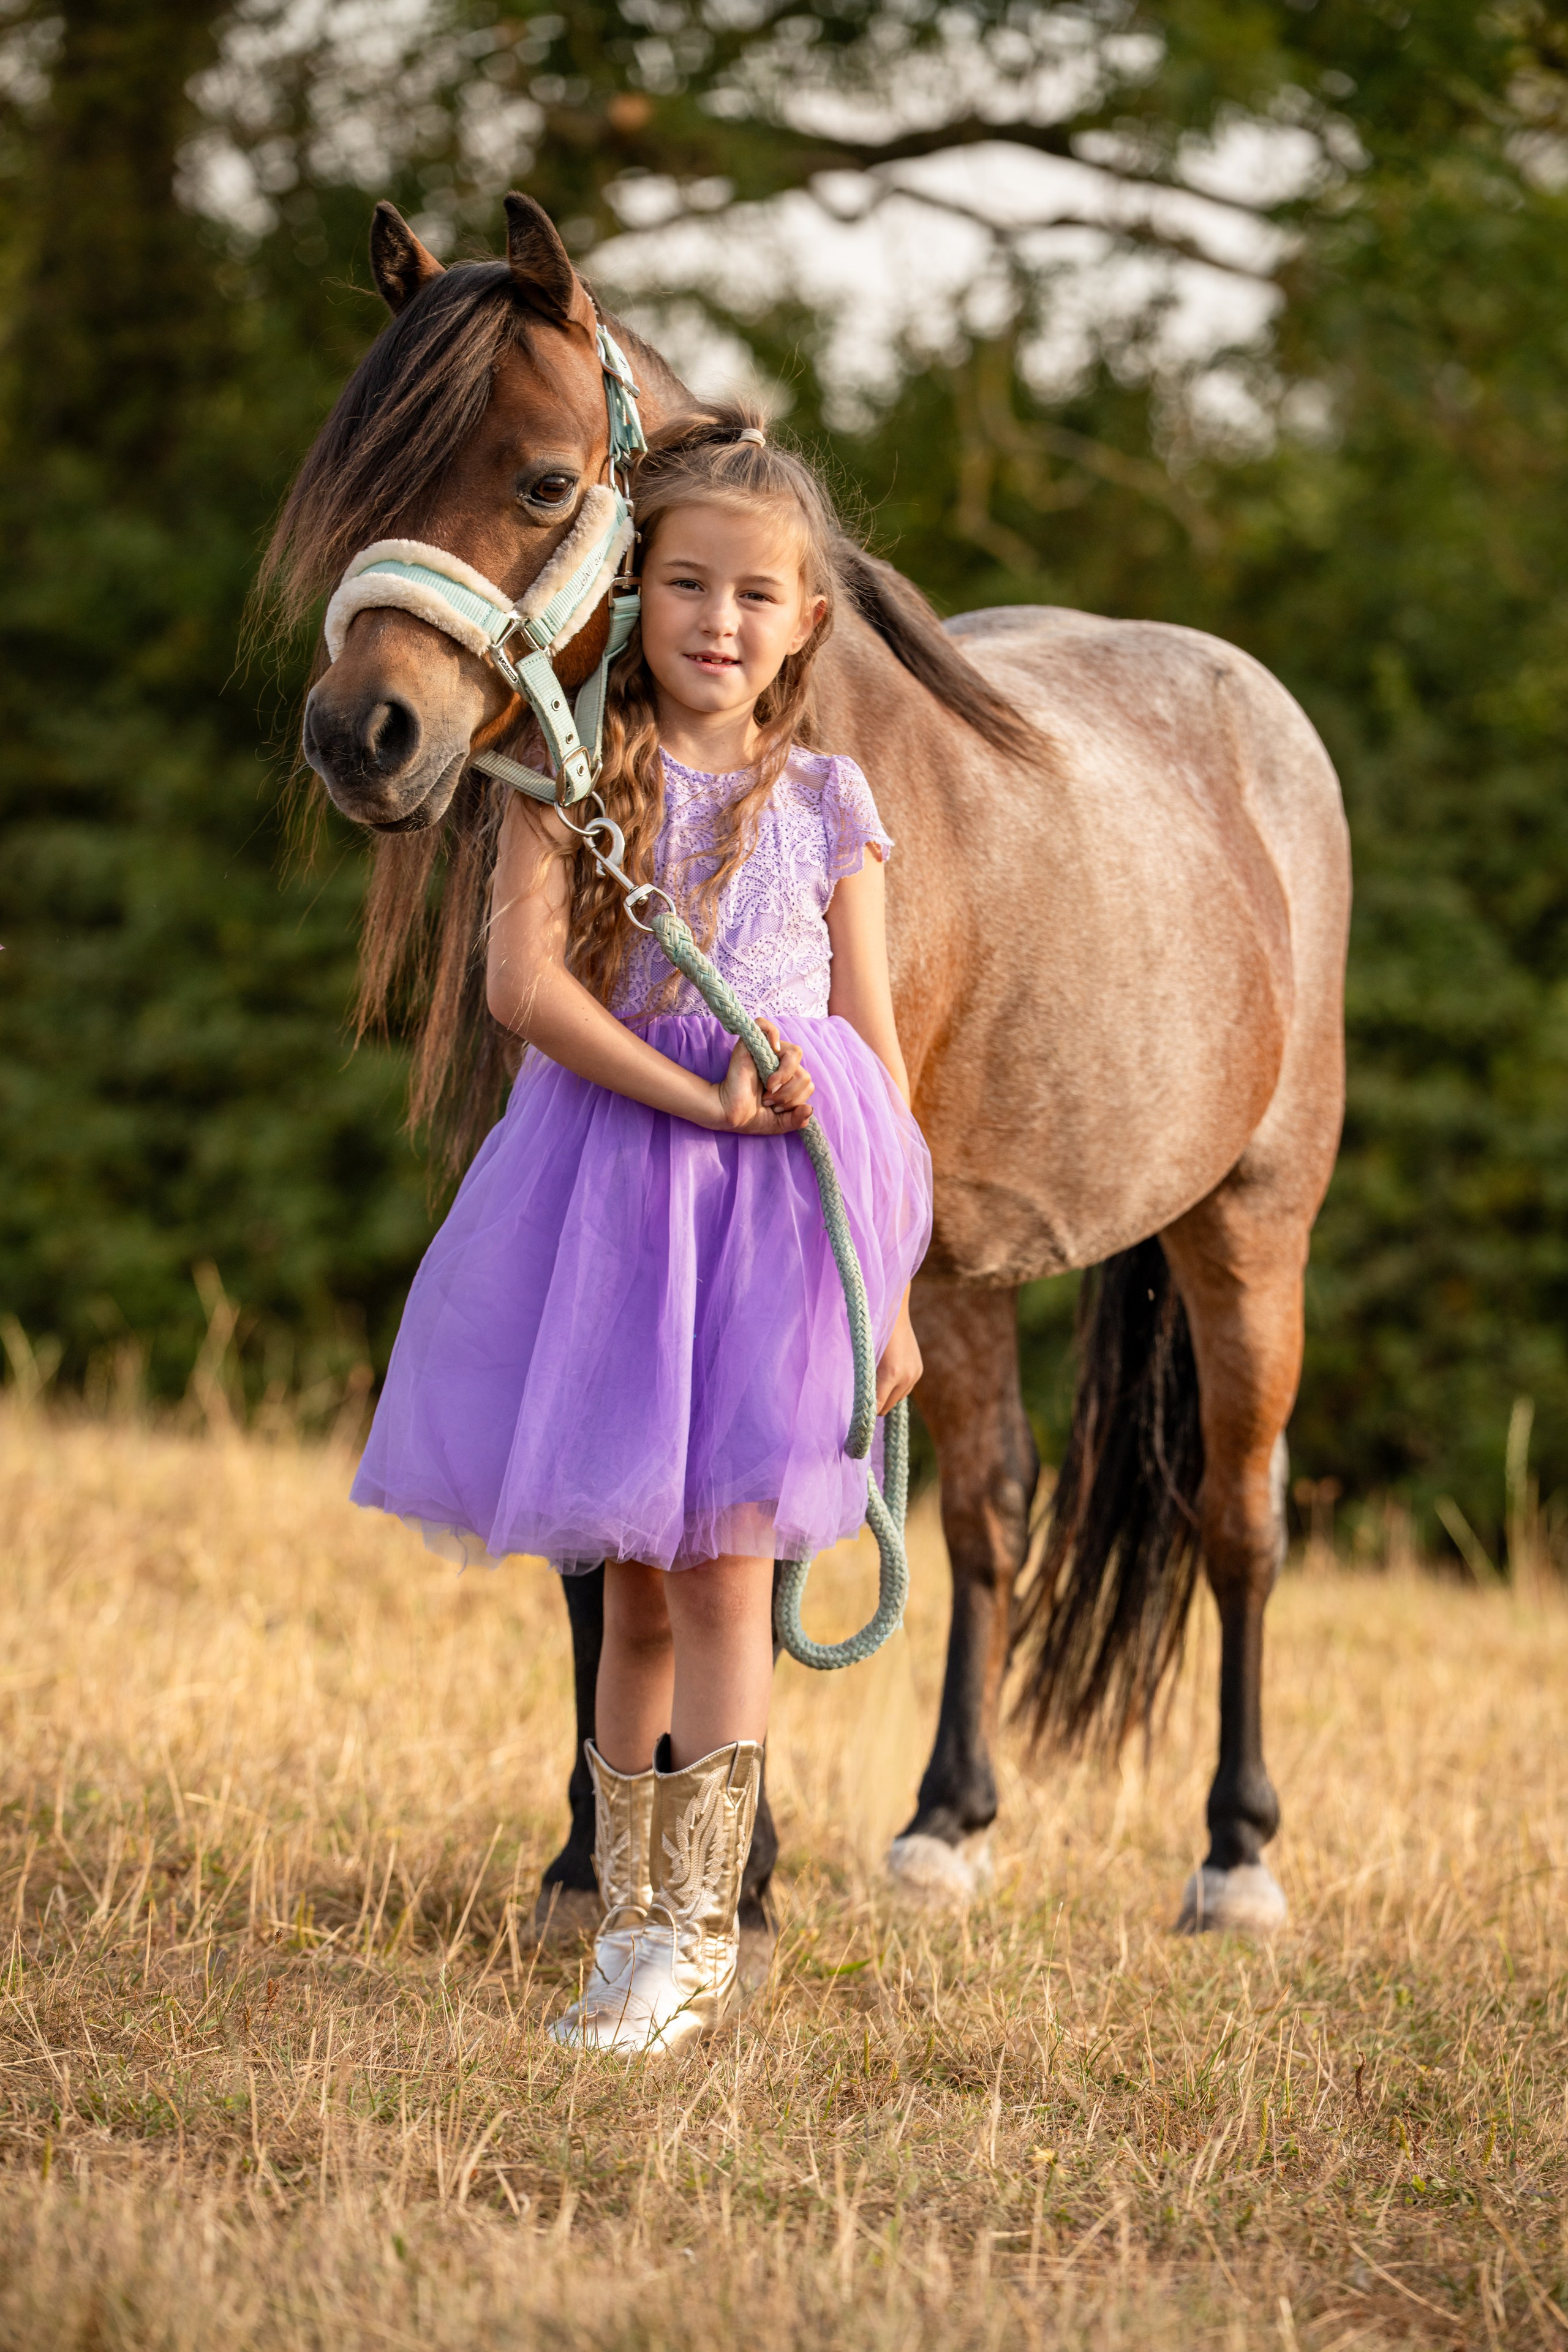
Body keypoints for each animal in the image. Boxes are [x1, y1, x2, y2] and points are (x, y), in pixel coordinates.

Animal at [265, 192, 1350, 1947]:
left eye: (544, 480)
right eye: (352, 485)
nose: (361, 735)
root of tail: (1254, 716)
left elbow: (743, 1536)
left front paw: (735, 1868)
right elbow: (599, 1529)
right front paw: (590, 1857)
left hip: (1248, 1225)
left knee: (1236, 1519)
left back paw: (1235, 1857)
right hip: (953, 1273)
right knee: (984, 1513)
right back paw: (944, 1823)